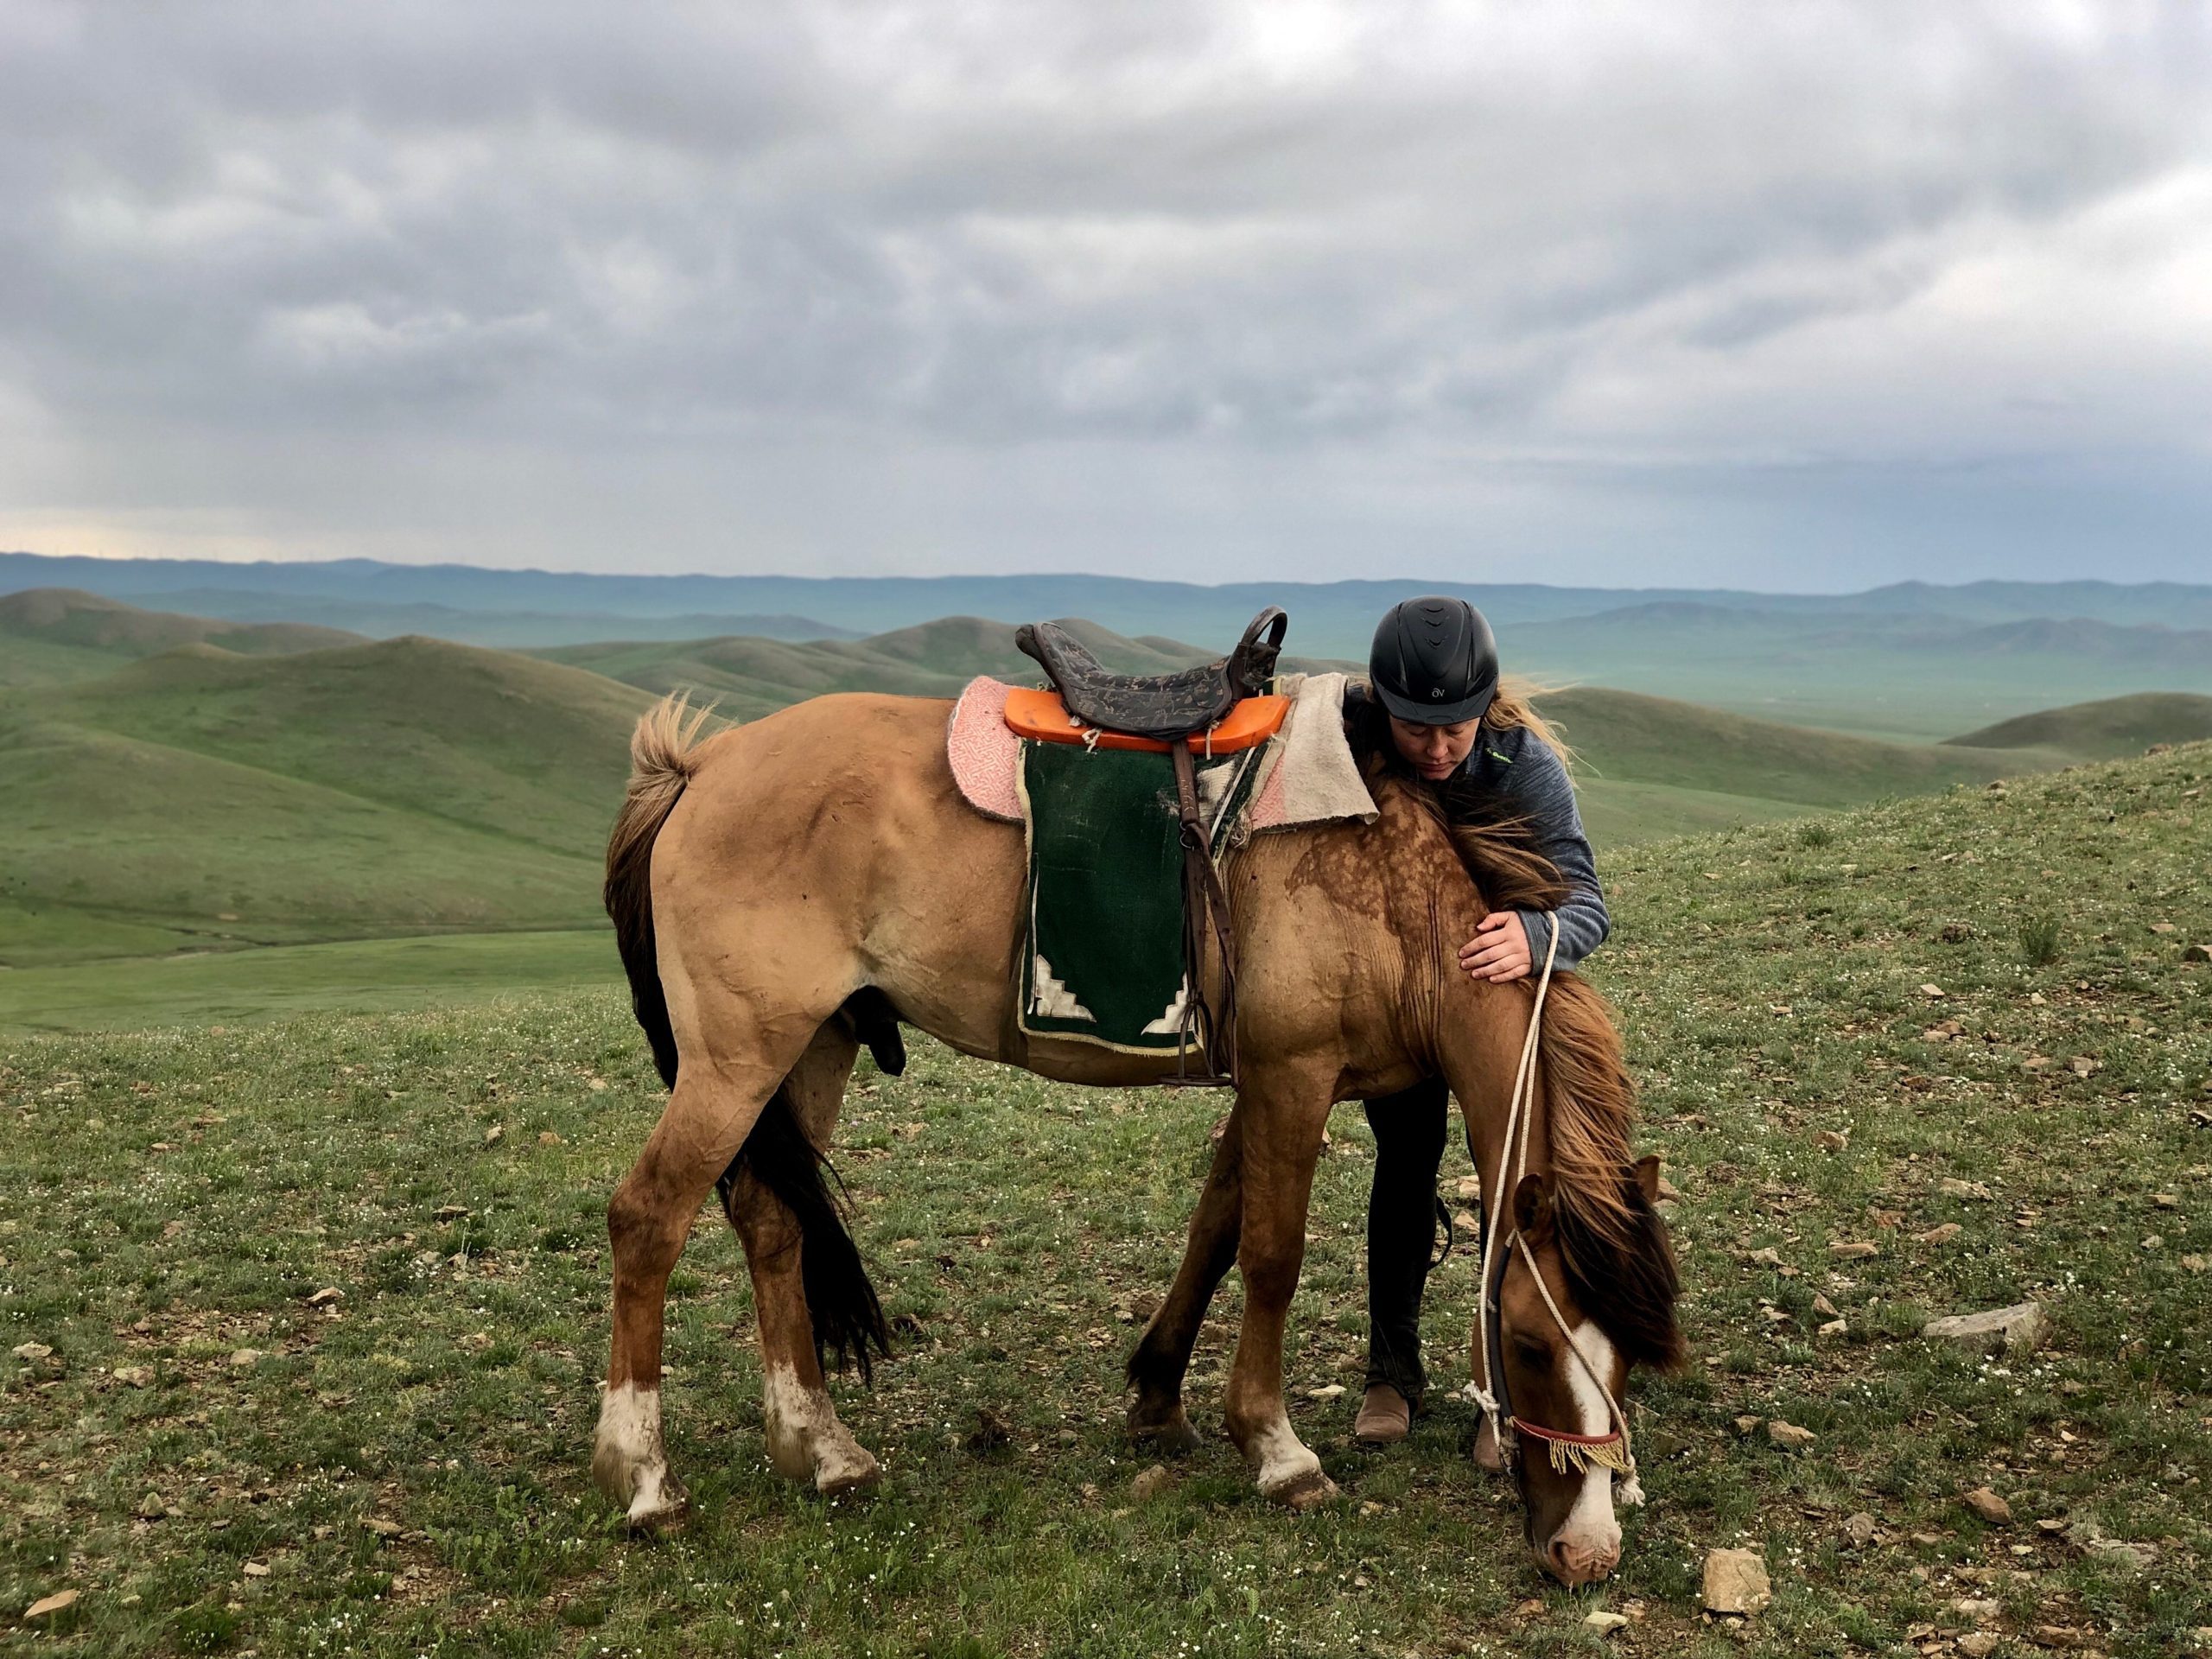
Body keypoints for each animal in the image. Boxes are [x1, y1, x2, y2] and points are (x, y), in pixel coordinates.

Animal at [591, 691, 1684, 1585]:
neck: (1387, 893)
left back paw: (821, 1449)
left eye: (1630, 1350)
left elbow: (1215, 1223)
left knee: (771, 1223)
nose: (1587, 1552)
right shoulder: (1294, 1076)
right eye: (1529, 1343)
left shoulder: (1265, 1083)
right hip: (737, 1058)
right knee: (648, 1217)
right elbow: (1272, 1256)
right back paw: (643, 1478)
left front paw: (1159, 1398)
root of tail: (699, 771)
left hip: (814, 1046)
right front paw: (1278, 1451)